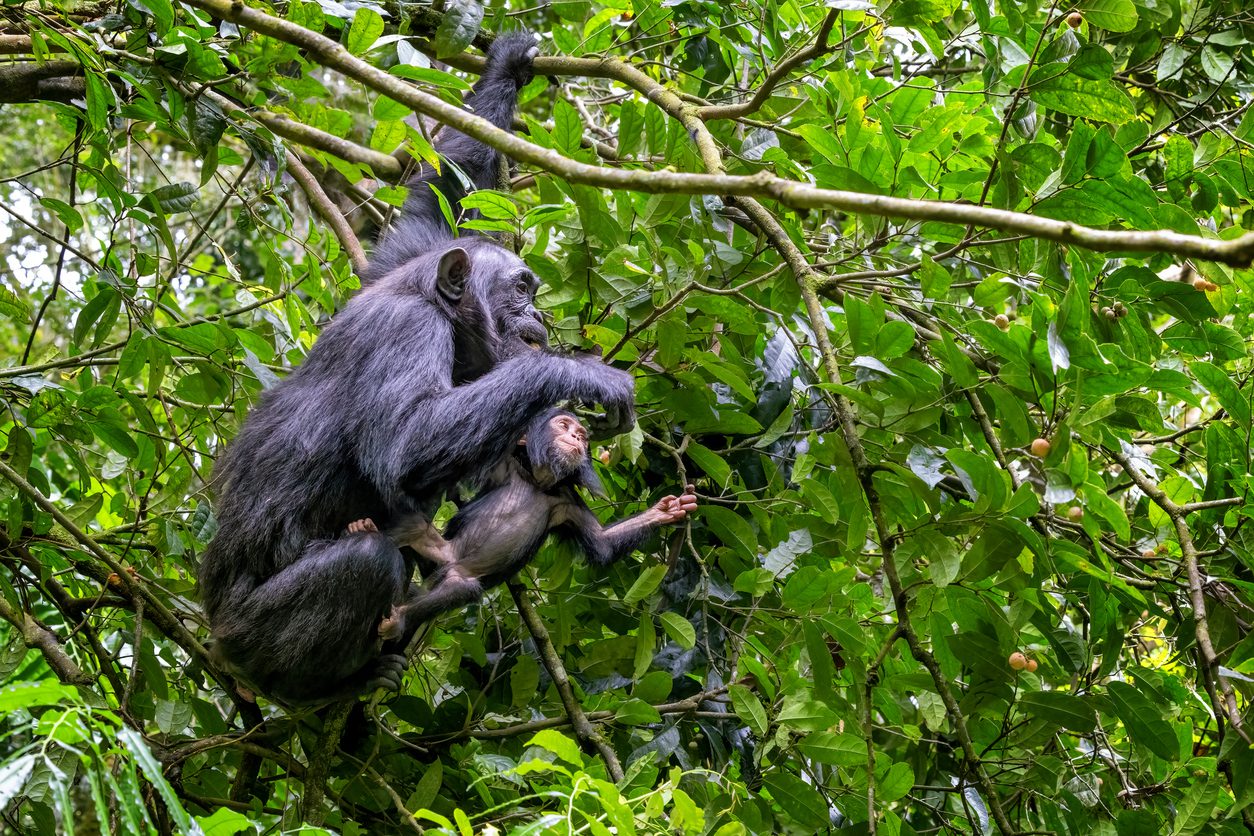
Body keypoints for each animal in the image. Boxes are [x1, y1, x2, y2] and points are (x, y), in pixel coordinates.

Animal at [201, 34, 642, 706]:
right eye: (521, 289)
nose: (538, 312)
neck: (443, 315)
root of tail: (214, 641)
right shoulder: (407, 332)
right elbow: (405, 442)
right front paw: (585, 378)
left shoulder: (409, 254)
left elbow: (444, 192)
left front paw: (508, 62)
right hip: (250, 640)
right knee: (368, 560)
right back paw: (324, 691)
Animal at [358, 406, 702, 634]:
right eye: (563, 424)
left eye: (580, 434)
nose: (577, 435)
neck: (536, 479)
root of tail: (447, 560)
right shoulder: (501, 461)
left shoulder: (566, 501)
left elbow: (601, 542)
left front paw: (666, 511)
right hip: (435, 551)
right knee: (413, 528)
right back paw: (362, 529)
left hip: (454, 573)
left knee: (460, 590)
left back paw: (399, 617)